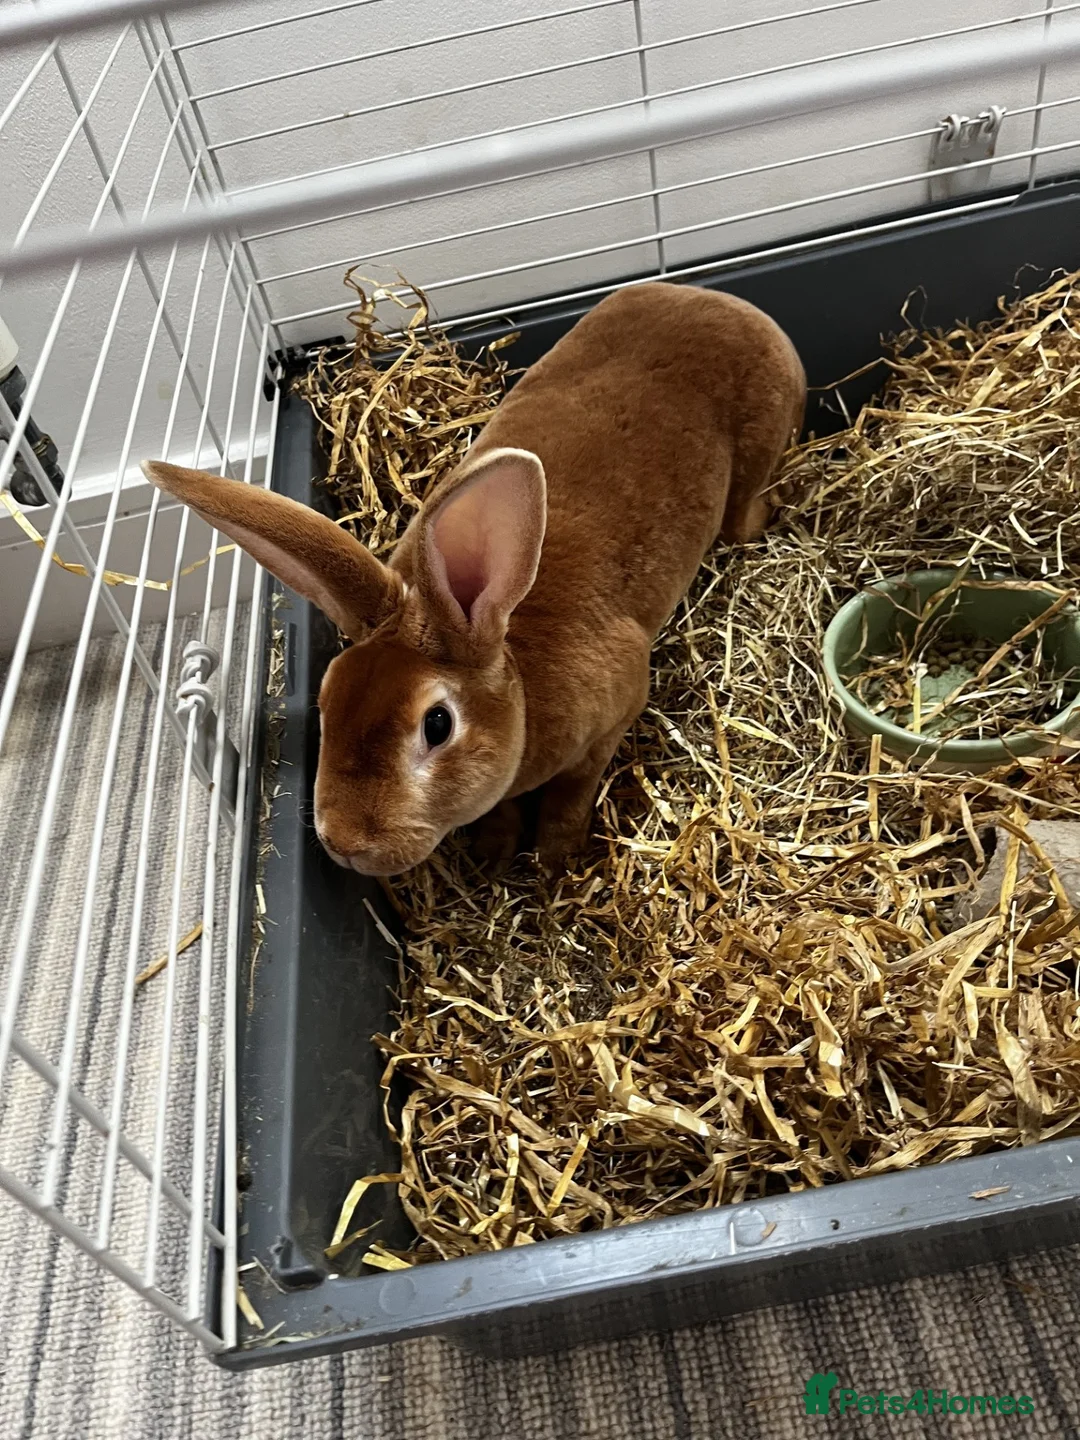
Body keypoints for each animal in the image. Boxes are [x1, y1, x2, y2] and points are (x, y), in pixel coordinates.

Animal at [143, 281, 805, 877]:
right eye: (327, 700)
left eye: (437, 725)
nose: (344, 844)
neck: (519, 674)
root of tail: (715, 299)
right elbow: (503, 807)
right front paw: (494, 852)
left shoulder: (613, 719)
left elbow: (571, 795)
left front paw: (556, 859)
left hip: (756, 458)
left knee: (746, 510)